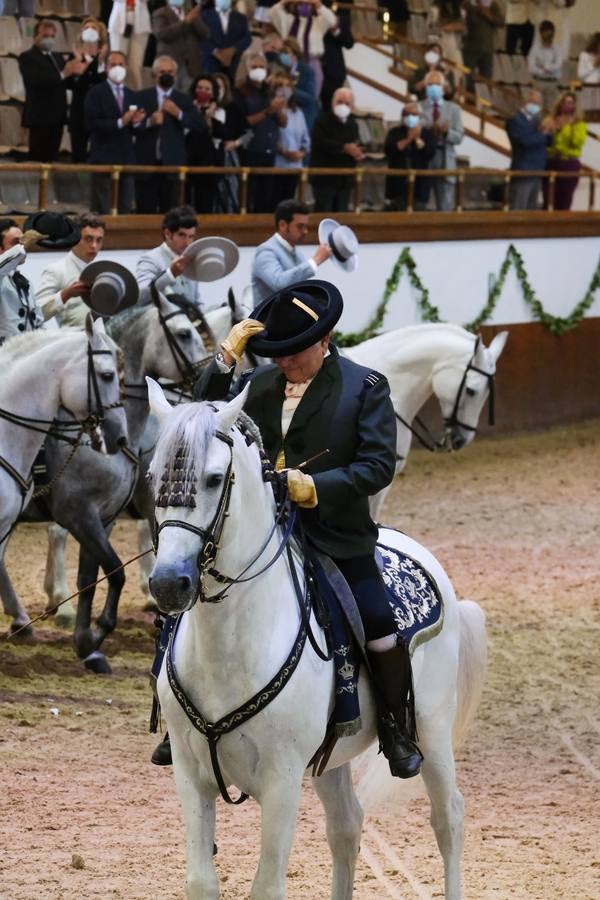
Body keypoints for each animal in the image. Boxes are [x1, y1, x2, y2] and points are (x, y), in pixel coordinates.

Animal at [145, 382, 488, 900]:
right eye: (152, 477)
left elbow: (267, 887)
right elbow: (201, 882)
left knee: (448, 818)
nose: (168, 584)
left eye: (212, 479)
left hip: (431, 726)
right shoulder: (190, 773)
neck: (229, 644)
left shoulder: (282, 779)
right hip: (333, 758)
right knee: (346, 827)